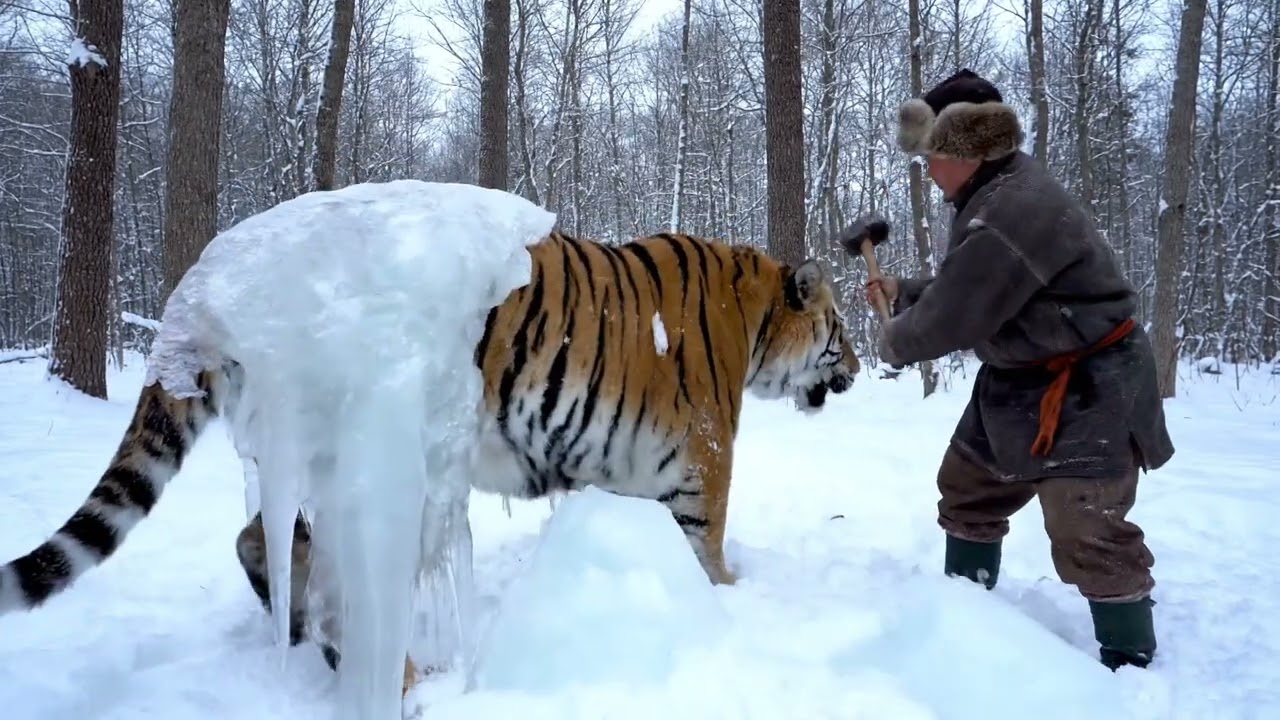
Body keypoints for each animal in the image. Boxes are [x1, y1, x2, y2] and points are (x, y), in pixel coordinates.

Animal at [0, 229, 860, 694]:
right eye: (839, 327)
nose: (858, 363)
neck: (755, 321)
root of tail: (216, 272)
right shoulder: (703, 460)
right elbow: (705, 549)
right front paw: (729, 601)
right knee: (326, 570)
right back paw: (395, 676)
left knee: (260, 540)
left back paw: (301, 632)